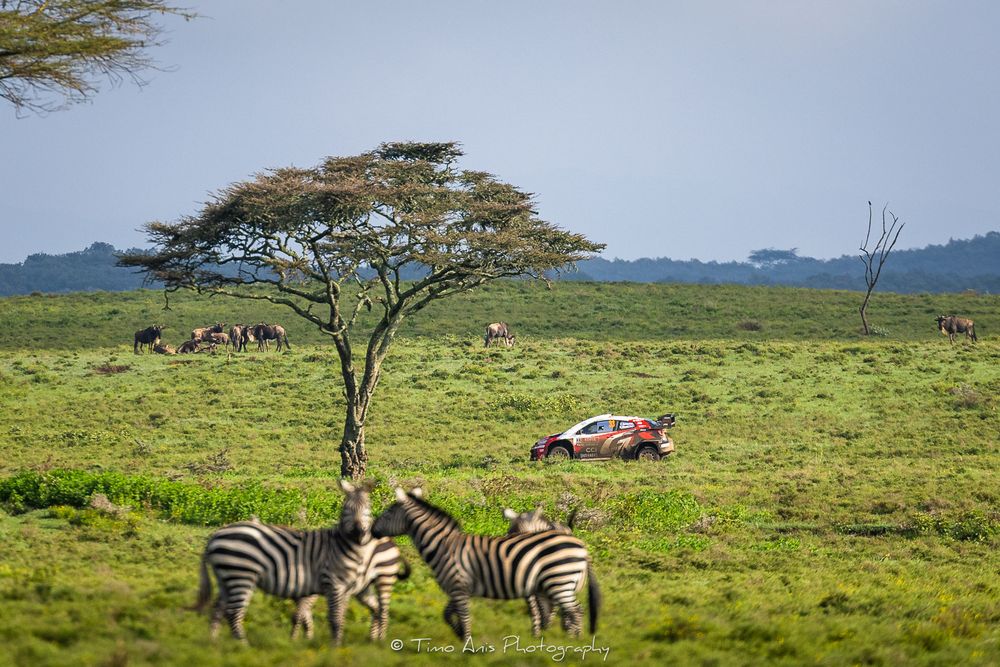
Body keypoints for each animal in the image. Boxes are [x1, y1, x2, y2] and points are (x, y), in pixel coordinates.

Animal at [192, 479, 408, 645]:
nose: (357, 532)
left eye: (368, 509)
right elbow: (330, 618)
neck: (345, 547)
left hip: (227, 577)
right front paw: (329, 647)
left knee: (218, 609)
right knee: (232, 613)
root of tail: (215, 536)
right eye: (346, 508)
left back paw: (214, 642)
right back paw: (243, 646)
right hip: (240, 575)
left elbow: (316, 615)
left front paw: (306, 640)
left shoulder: (329, 587)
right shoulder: (332, 584)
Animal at [372, 487, 600, 640]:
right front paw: (459, 635)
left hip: (560, 582)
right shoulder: (459, 588)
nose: (371, 530)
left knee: (574, 611)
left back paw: (574, 641)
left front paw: (467, 643)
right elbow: (447, 614)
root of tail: (580, 545)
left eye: (387, 513)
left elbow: (464, 616)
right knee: (565, 610)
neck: (444, 545)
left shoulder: (459, 586)